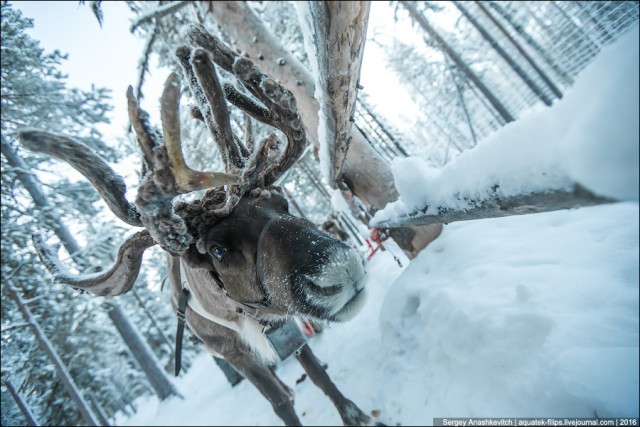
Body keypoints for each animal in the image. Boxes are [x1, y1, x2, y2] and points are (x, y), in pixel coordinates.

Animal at [18, 25, 382, 427]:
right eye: (218, 250)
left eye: (281, 202)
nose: (341, 271)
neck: (245, 315)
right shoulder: (237, 354)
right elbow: (279, 402)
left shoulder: (283, 326)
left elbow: (318, 374)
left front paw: (354, 414)